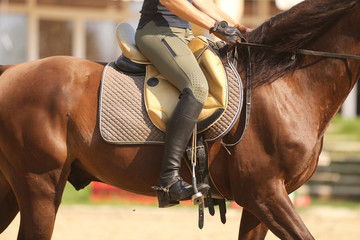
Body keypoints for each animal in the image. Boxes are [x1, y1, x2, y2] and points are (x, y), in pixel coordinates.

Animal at [0, 0, 360, 239]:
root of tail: (11, 72)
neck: (284, 85)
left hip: (15, 187)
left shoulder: (259, 203)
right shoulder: (264, 193)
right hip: (40, 185)